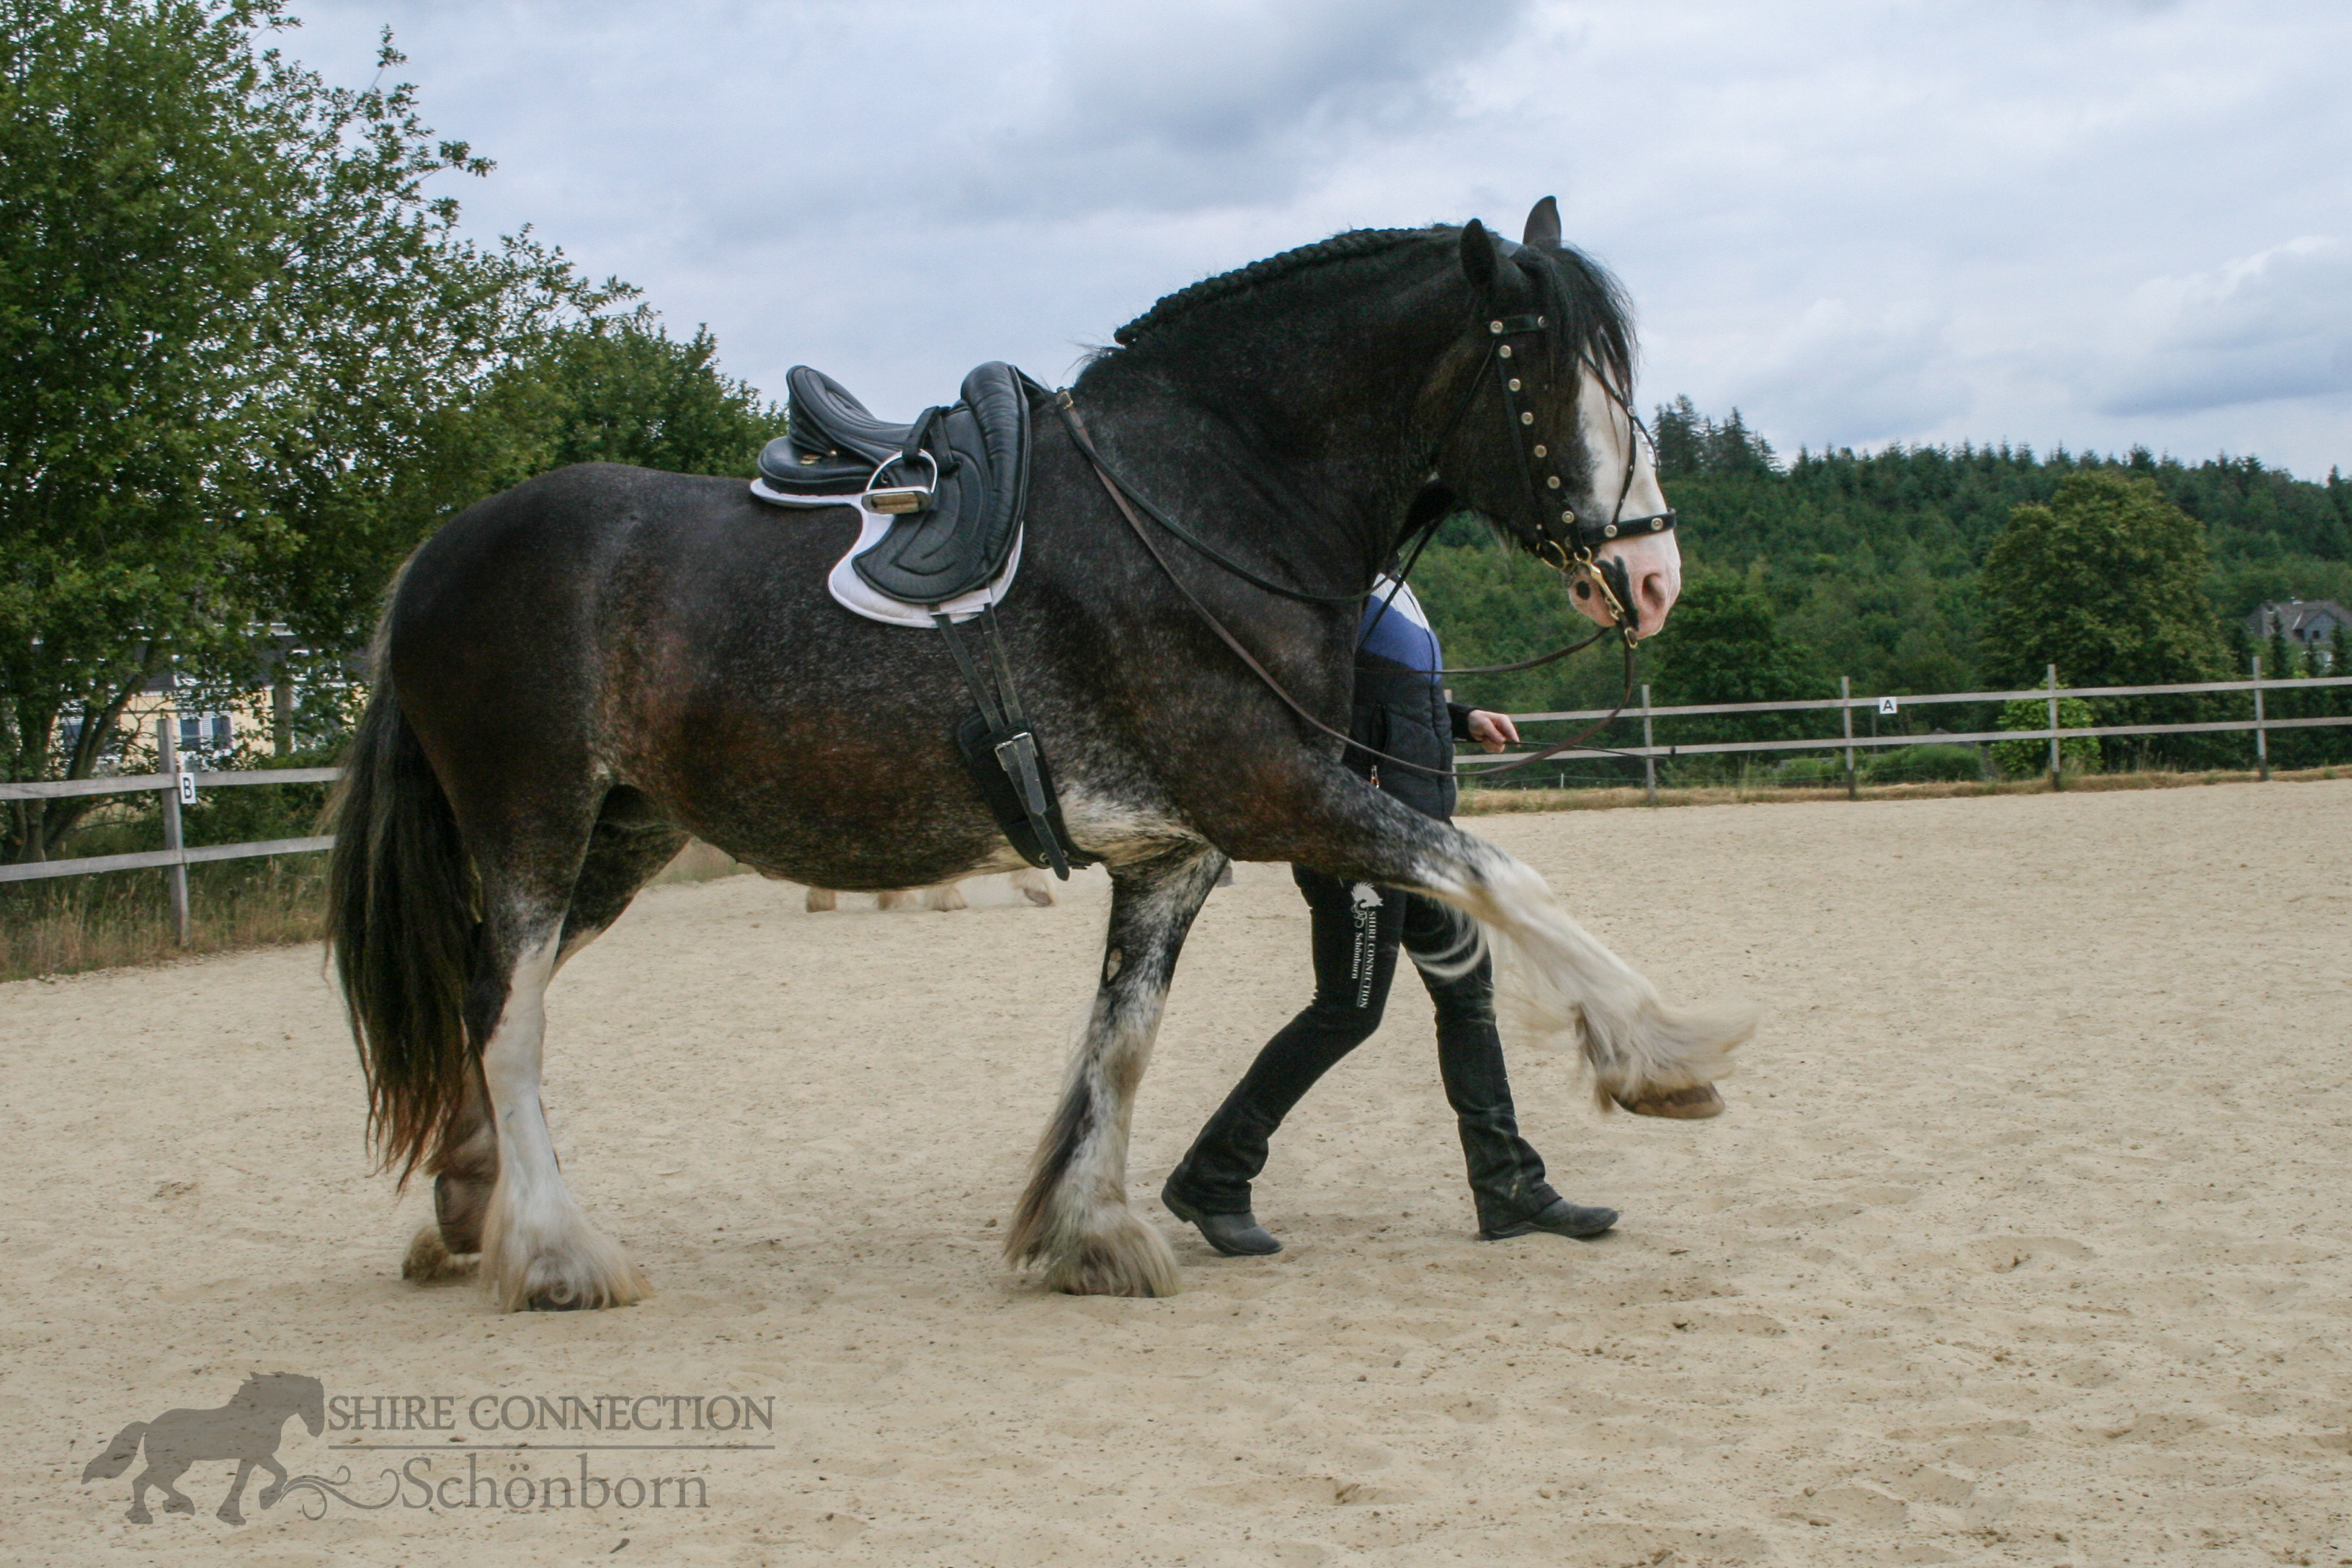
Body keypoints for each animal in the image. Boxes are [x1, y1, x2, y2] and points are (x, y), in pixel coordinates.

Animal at [336, 205, 1768, 1316]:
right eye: (1549, 371)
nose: (1651, 574)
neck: (1198, 508)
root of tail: (437, 555)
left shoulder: (1174, 851)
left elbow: (1120, 1040)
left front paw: (1089, 1233)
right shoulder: (1275, 795)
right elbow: (1496, 871)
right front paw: (1662, 1054)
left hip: (621, 836)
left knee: (486, 1002)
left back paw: (464, 1214)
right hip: (532, 819)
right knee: (507, 1013)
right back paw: (553, 1254)